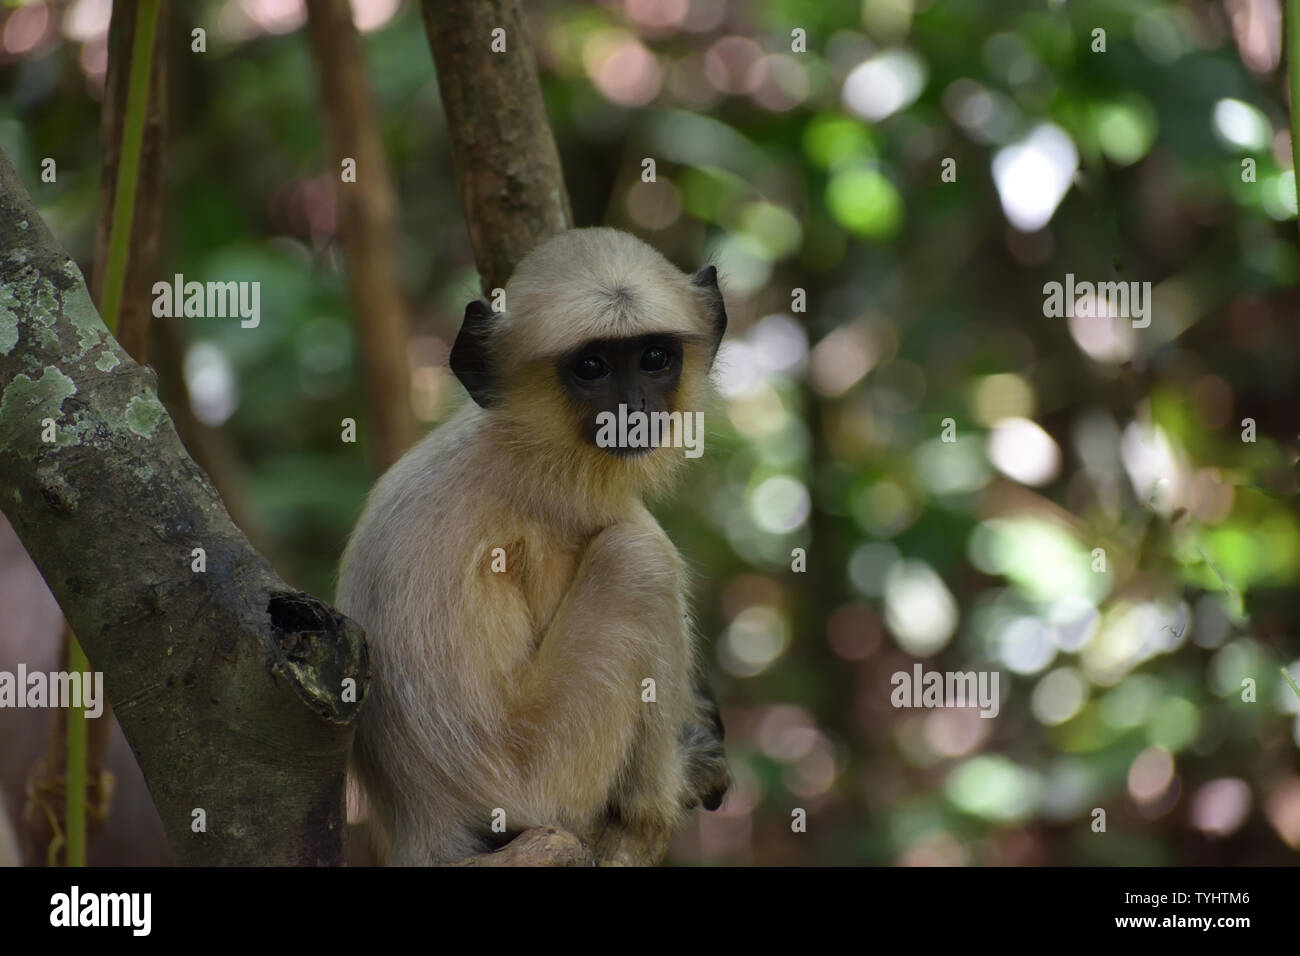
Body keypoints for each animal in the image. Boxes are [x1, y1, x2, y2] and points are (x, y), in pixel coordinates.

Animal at [337, 227, 730, 866]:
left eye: (654, 358)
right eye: (591, 367)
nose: (633, 412)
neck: (521, 439)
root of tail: (424, 822)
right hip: (546, 772)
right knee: (640, 558)